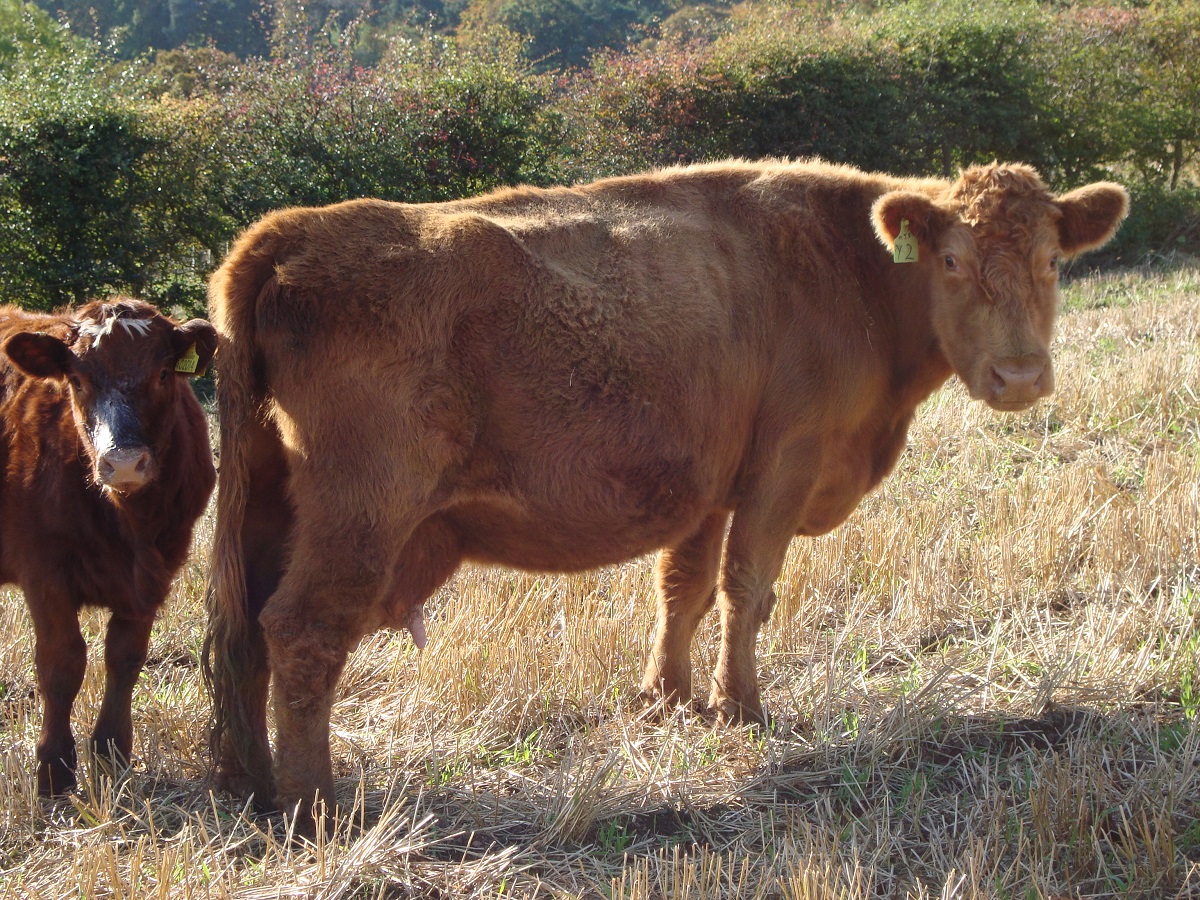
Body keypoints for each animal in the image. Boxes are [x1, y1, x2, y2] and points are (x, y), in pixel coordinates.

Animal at [1, 301, 216, 796]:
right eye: (77, 379)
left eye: (162, 373)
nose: (123, 462)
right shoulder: (43, 571)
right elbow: (62, 663)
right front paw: (55, 769)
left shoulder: (157, 570)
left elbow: (125, 656)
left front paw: (111, 753)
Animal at [201, 158, 1128, 820]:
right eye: (952, 259)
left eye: (1052, 260)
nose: (1020, 376)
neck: (850, 271)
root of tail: (292, 234)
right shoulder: (782, 468)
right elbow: (747, 587)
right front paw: (741, 708)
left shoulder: (708, 489)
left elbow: (684, 588)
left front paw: (667, 698)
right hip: (362, 517)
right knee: (304, 632)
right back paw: (317, 807)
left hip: (271, 510)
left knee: (246, 636)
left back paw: (252, 786)